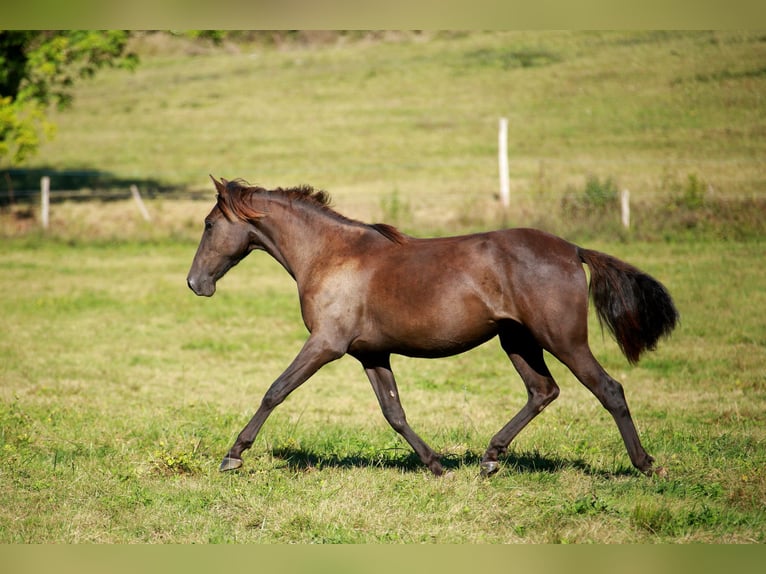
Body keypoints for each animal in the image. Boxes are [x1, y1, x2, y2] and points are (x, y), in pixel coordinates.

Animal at [189, 178, 680, 480]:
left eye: (209, 224)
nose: (196, 283)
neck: (330, 255)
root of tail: (572, 250)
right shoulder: (370, 353)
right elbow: (394, 412)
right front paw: (436, 465)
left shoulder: (326, 344)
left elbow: (275, 390)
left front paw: (233, 455)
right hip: (517, 340)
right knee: (543, 391)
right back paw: (489, 458)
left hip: (563, 339)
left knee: (608, 389)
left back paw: (646, 465)